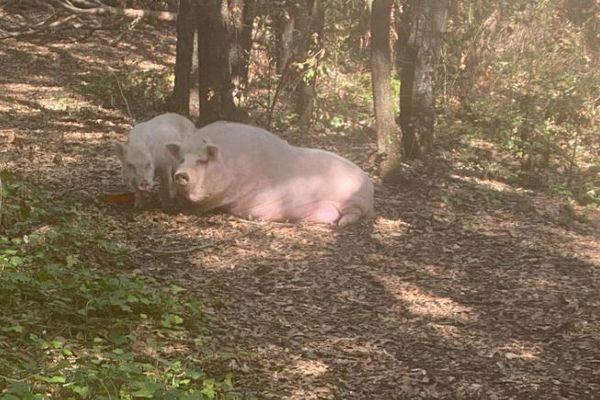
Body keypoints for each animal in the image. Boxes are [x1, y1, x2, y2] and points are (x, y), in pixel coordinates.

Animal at [166, 122, 376, 227]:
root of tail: (369, 183)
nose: (180, 175)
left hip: (355, 199)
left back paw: (341, 224)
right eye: (182, 159)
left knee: (354, 214)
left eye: (202, 160)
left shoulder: (225, 196)